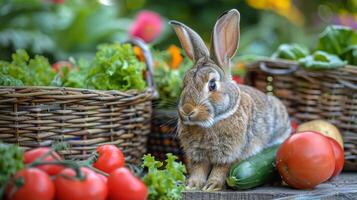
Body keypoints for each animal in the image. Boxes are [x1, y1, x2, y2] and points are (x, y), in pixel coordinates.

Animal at [169, 8, 290, 191]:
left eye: (212, 85)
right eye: (184, 83)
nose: (187, 110)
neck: (213, 122)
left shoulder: (231, 153)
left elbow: (221, 169)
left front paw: (212, 186)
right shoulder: (197, 154)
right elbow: (199, 169)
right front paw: (192, 185)